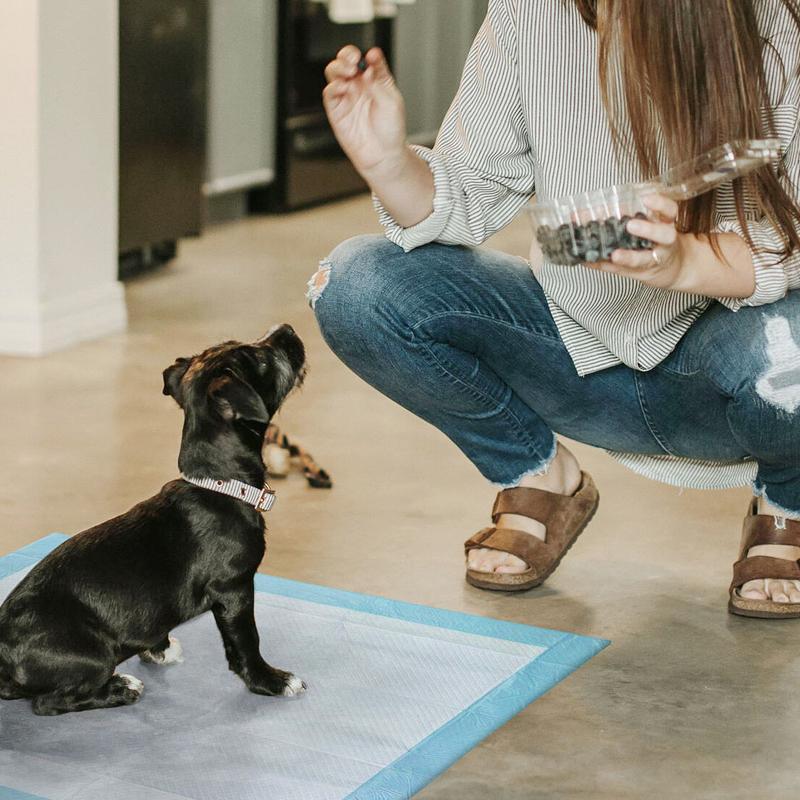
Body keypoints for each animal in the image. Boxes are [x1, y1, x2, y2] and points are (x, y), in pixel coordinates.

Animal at [0, 322, 308, 716]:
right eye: (263, 359)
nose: (286, 327)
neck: (219, 484)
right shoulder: (235, 589)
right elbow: (246, 643)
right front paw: (271, 681)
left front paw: (157, 648)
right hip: (94, 655)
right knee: (50, 702)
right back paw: (120, 689)